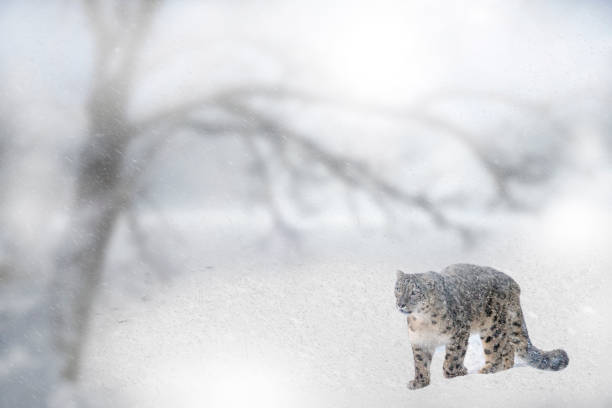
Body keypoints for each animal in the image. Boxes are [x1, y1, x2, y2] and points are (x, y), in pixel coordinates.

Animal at [396, 264, 568, 388]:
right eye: (398, 289)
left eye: (414, 292)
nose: (401, 304)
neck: (423, 322)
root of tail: (513, 283)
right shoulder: (420, 341)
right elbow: (420, 363)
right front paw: (419, 382)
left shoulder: (459, 334)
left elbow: (453, 357)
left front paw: (455, 373)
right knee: (508, 348)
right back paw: (504, 368)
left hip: (492, 327)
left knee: (496, 349)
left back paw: (488, 369)